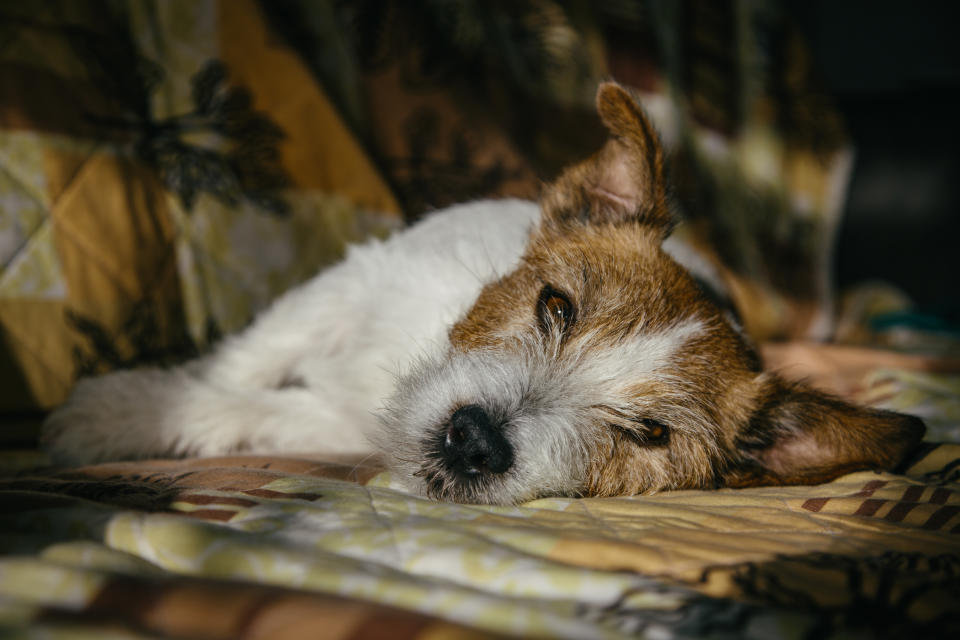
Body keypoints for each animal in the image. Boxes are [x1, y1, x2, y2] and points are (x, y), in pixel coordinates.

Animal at [41, 84, 928, 504]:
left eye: (650, 434)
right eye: (556, 306)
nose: (474, 442)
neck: (416, 347)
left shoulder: (337, 419)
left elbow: (255, 408)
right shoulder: (348, 283)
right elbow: (241, 362)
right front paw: (128, 411)